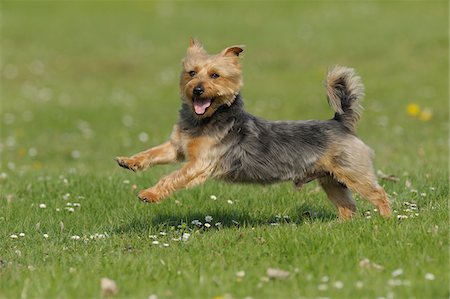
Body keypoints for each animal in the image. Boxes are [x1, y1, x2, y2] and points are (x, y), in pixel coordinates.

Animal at [115, 39, 390, 220]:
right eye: (191, 73)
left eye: (215, 75)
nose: (197, 89)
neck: (204, 120)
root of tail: (339, 122)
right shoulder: (177, 148)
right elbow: (153, 152)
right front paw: (129, 161)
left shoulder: (200, 163)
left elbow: (172, 177)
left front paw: (149, 194)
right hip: (331, 179)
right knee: (348, 206)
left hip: (353, 172)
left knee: (379, 194)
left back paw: (385, 221)